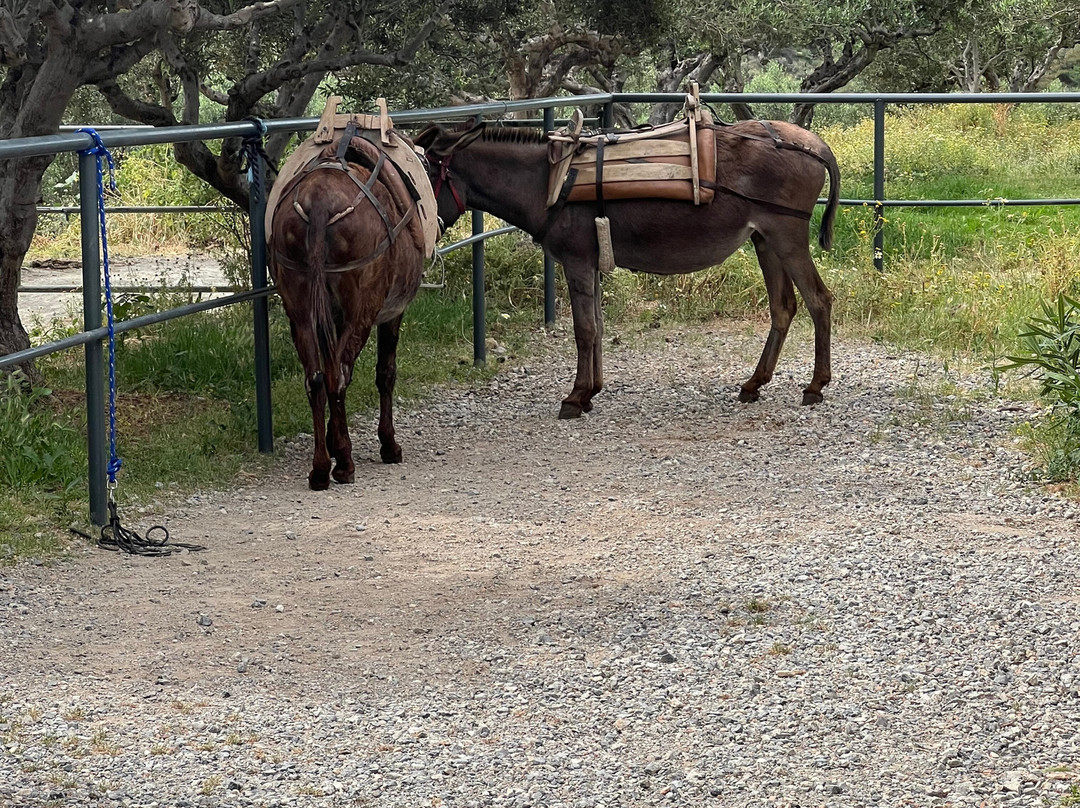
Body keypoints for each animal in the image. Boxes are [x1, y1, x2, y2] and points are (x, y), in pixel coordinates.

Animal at [268, 124, 434, 490]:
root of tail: (317, 205)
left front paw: (332, 438)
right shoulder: (391, 313)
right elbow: (385, 372)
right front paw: (388, 444)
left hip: (300, 310)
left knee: (317, 378)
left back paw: (320, 468)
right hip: (362, 309)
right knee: (338, 376)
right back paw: (343, 462)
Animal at [415, 115, 840, 419]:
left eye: (428, 175)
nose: (422, 232)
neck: (552, 181)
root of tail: (814, 143)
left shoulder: (576, 261)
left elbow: (584, 330)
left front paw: (575, 397)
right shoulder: (591, 263)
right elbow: (598, 326)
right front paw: (591, 391)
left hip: (786, 235)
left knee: (819, 300)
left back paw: (815, 386)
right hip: (765, 240)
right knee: (783, 307)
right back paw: (754, 384)